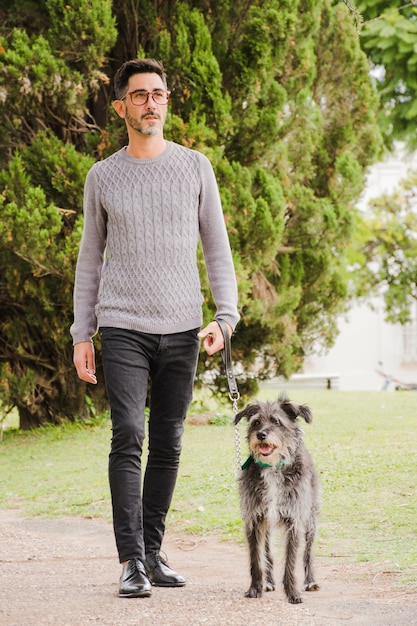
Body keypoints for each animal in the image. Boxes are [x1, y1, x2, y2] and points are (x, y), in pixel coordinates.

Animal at [234, 392, 318, 604]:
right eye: (256, 422)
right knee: (268, 553)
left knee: (308, 551)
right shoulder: (254, 519)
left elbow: (290, 561)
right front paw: (255, 588)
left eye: (276, 422)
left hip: (311, 519)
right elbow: (256, 559)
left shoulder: (295, 521)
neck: (272, 468)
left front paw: (292, 593)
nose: (261, 435)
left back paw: (310, 581)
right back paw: (268, 581)